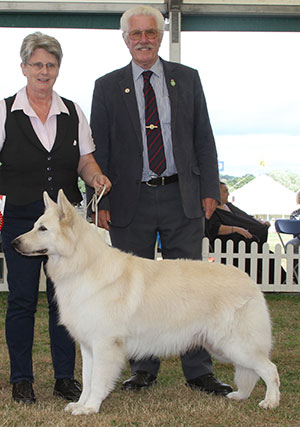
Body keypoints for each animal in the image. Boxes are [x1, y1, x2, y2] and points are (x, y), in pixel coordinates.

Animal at [11, 190, 278, 414]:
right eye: (34, 226)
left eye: (42, 229)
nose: (14, 243)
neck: (83, 265)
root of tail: (250, 280)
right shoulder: (88, 347)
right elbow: (87, 380)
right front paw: (80, 404)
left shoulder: (105, 345)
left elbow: (97, 381)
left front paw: (91, 408)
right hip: (221, 346)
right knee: (251, 372)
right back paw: (241, 396)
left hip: (235, 345)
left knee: (269, 369)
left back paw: (270, 402)